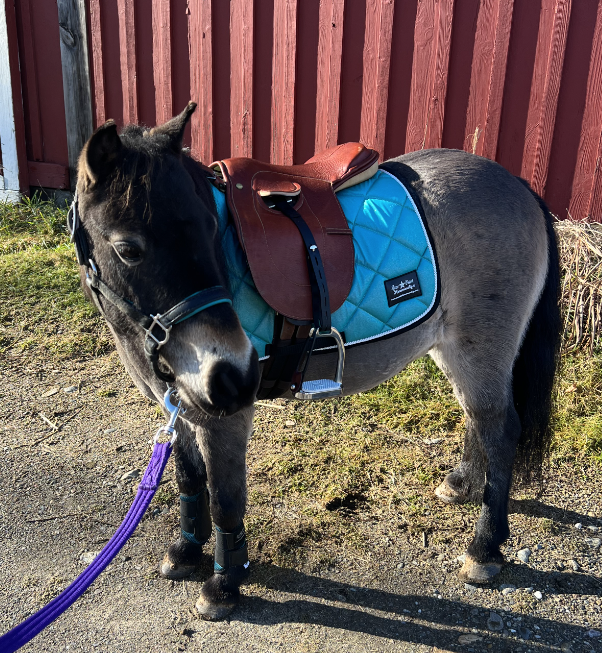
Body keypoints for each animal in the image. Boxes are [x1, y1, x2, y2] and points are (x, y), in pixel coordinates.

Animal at [74, 104, 556, 620]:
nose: (234, 376)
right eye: (128, 248)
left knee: (500, 429)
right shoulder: (178, 407)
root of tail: (516, 184)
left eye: (211, 229)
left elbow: (225, 499)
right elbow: (189, 478)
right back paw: (463, 484)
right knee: (479, 420)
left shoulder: (224, 418)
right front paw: (186, 551)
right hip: (455, 350)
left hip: (479, 350)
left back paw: (485, 549)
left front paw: (224, 583)